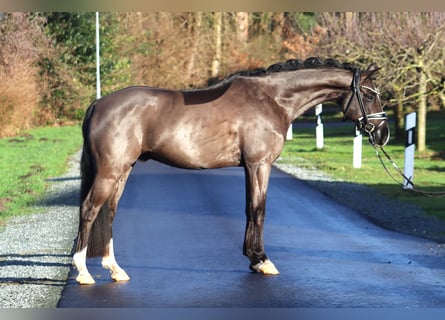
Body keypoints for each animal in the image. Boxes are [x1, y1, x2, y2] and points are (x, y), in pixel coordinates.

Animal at [73, 56, 388, 284]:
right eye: (370, 96)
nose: (383, 134)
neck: (272, 99)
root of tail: (98, 104)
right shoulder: (259, 164)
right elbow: (259, 210)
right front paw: (262, 260)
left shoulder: (251, 166)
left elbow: (250, 209)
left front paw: (254, 259)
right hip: (109, 171)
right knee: (89, 210)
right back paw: (84, 272)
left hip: (122, 171)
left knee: (109, 212)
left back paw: (115, 269)